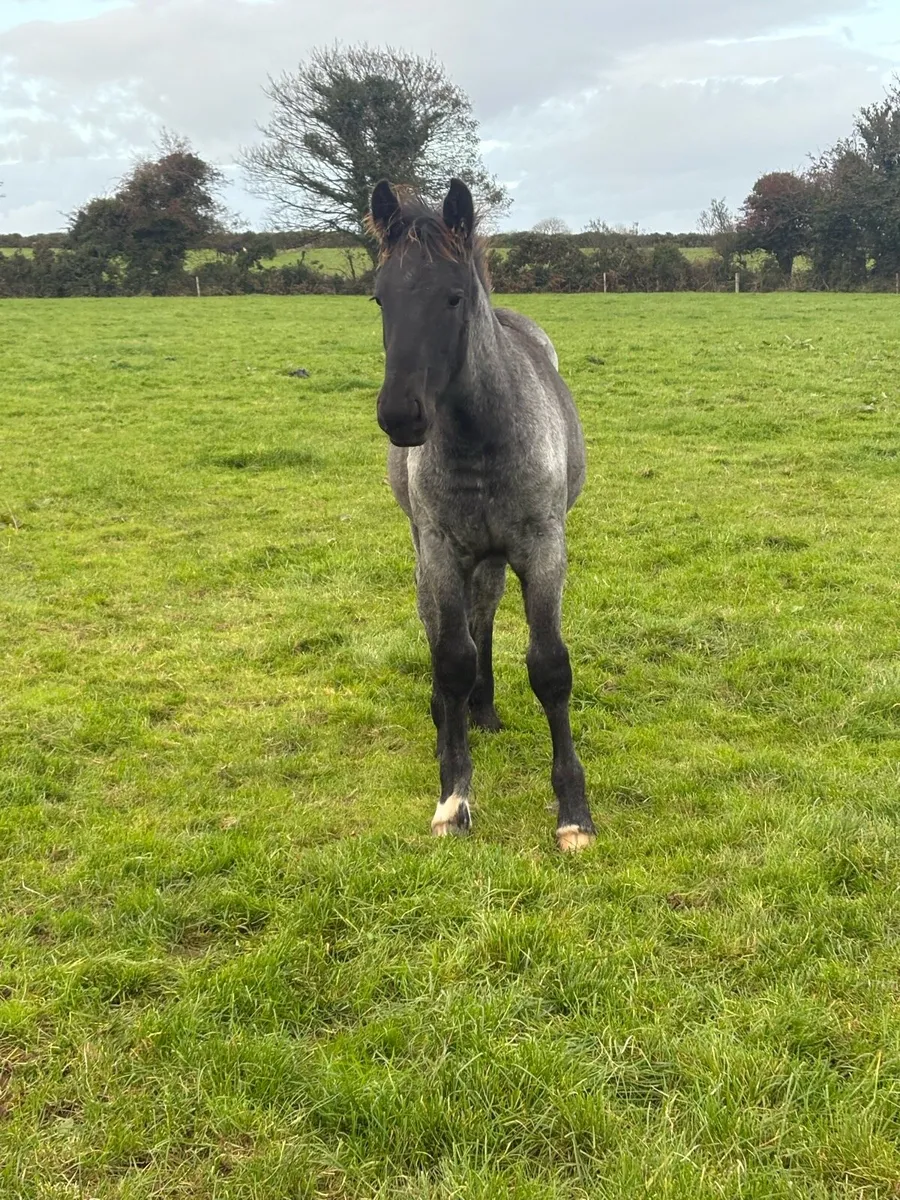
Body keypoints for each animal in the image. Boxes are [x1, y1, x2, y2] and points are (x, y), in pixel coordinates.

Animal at [369, 178, 595, 852]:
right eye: (379, 299)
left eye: (454, 296)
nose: (400, 414)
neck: (480, 437)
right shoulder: (442, 548)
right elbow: (450, 656)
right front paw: (453, 796)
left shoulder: (543, 548)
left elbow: (549, 667)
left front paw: (574, 813)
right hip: (435, 550)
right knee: (449, 628)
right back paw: (452, 713)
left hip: (497, 554)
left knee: (486, 613)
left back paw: (485, 708)